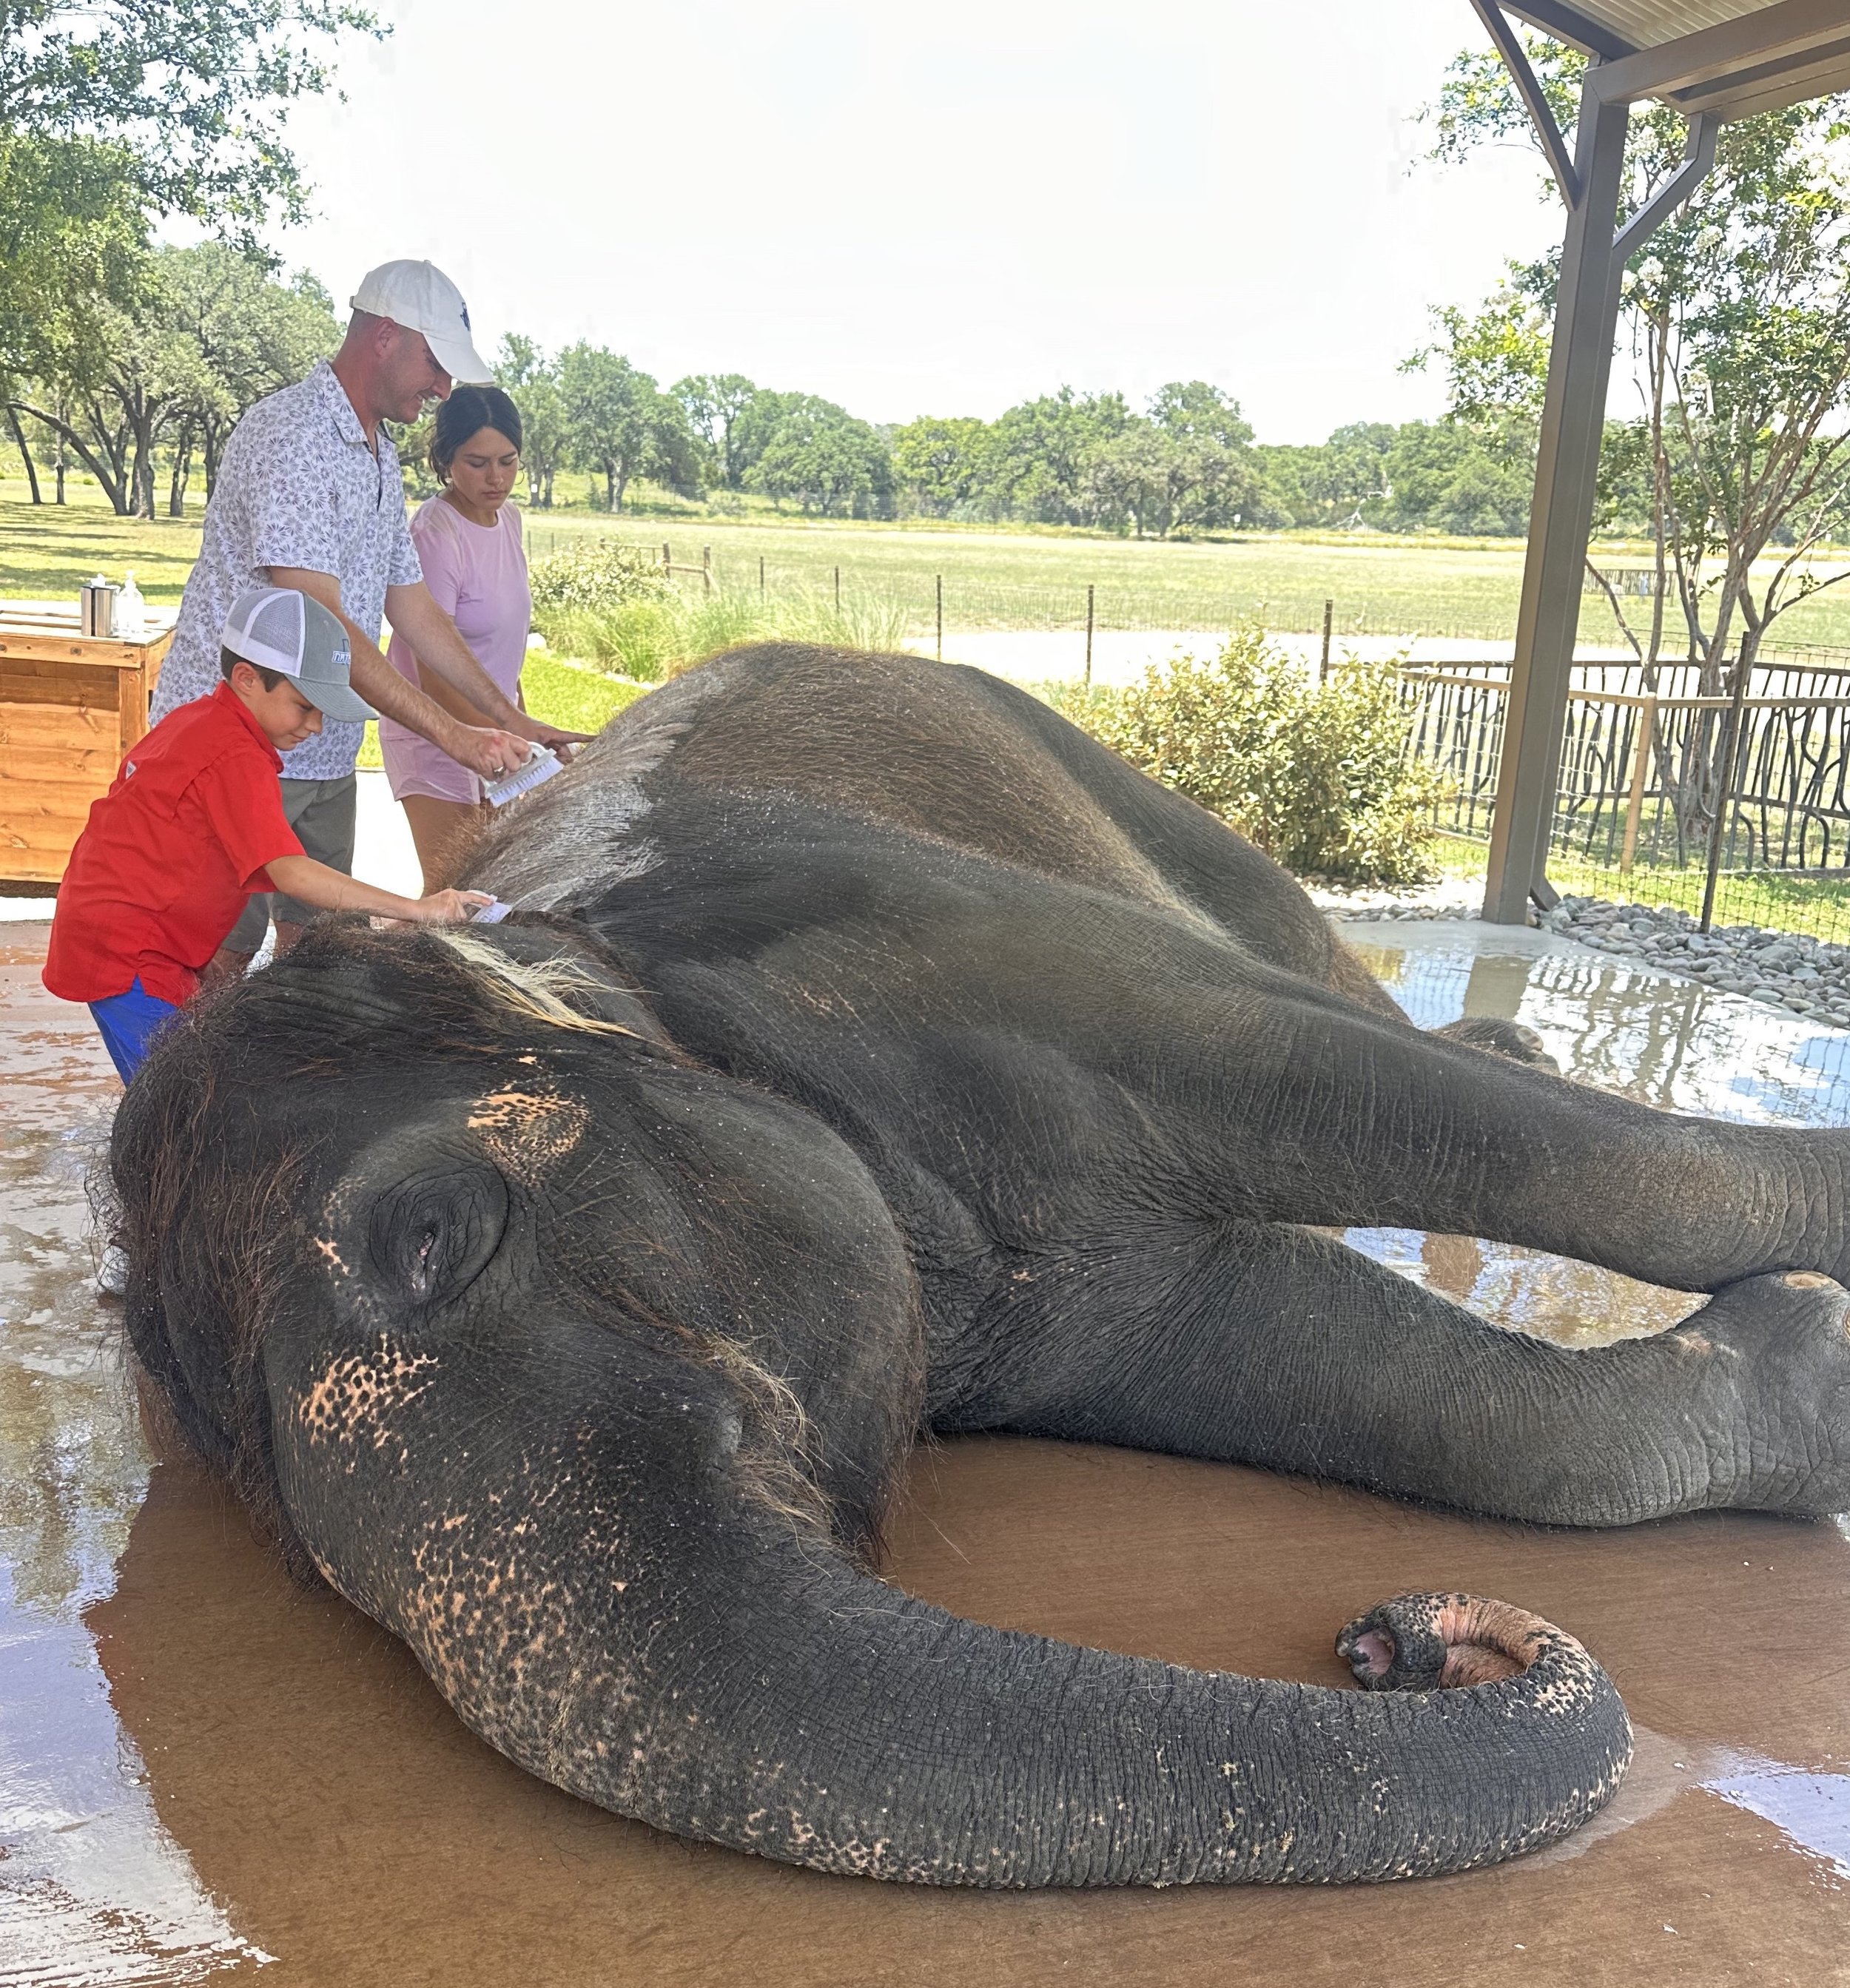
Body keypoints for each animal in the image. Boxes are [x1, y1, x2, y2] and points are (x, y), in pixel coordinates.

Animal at [110, 643, 1850, 1890]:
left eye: (436, 1231)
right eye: (300, 1556)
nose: (1389, 1645)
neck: (562, 947)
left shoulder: (900, 937)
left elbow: (1340, 1087)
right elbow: (1374, 1379)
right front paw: (1810, 1364)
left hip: (1117, 792)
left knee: (1319, 970)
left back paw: (1504, 1037)